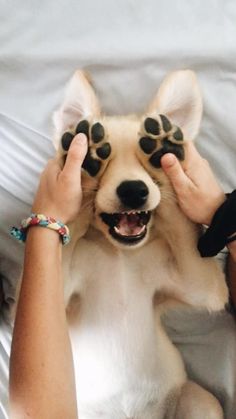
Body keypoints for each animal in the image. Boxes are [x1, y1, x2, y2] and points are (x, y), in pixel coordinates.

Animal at [52, 70, 228, 418]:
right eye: (105, 167)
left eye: (146, 167)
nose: (134, 190)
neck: (120, 253)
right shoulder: (58, 295)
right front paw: (82, 163)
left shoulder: (203, 286)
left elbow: (180, 223)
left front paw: (166, 151)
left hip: (200, 400)